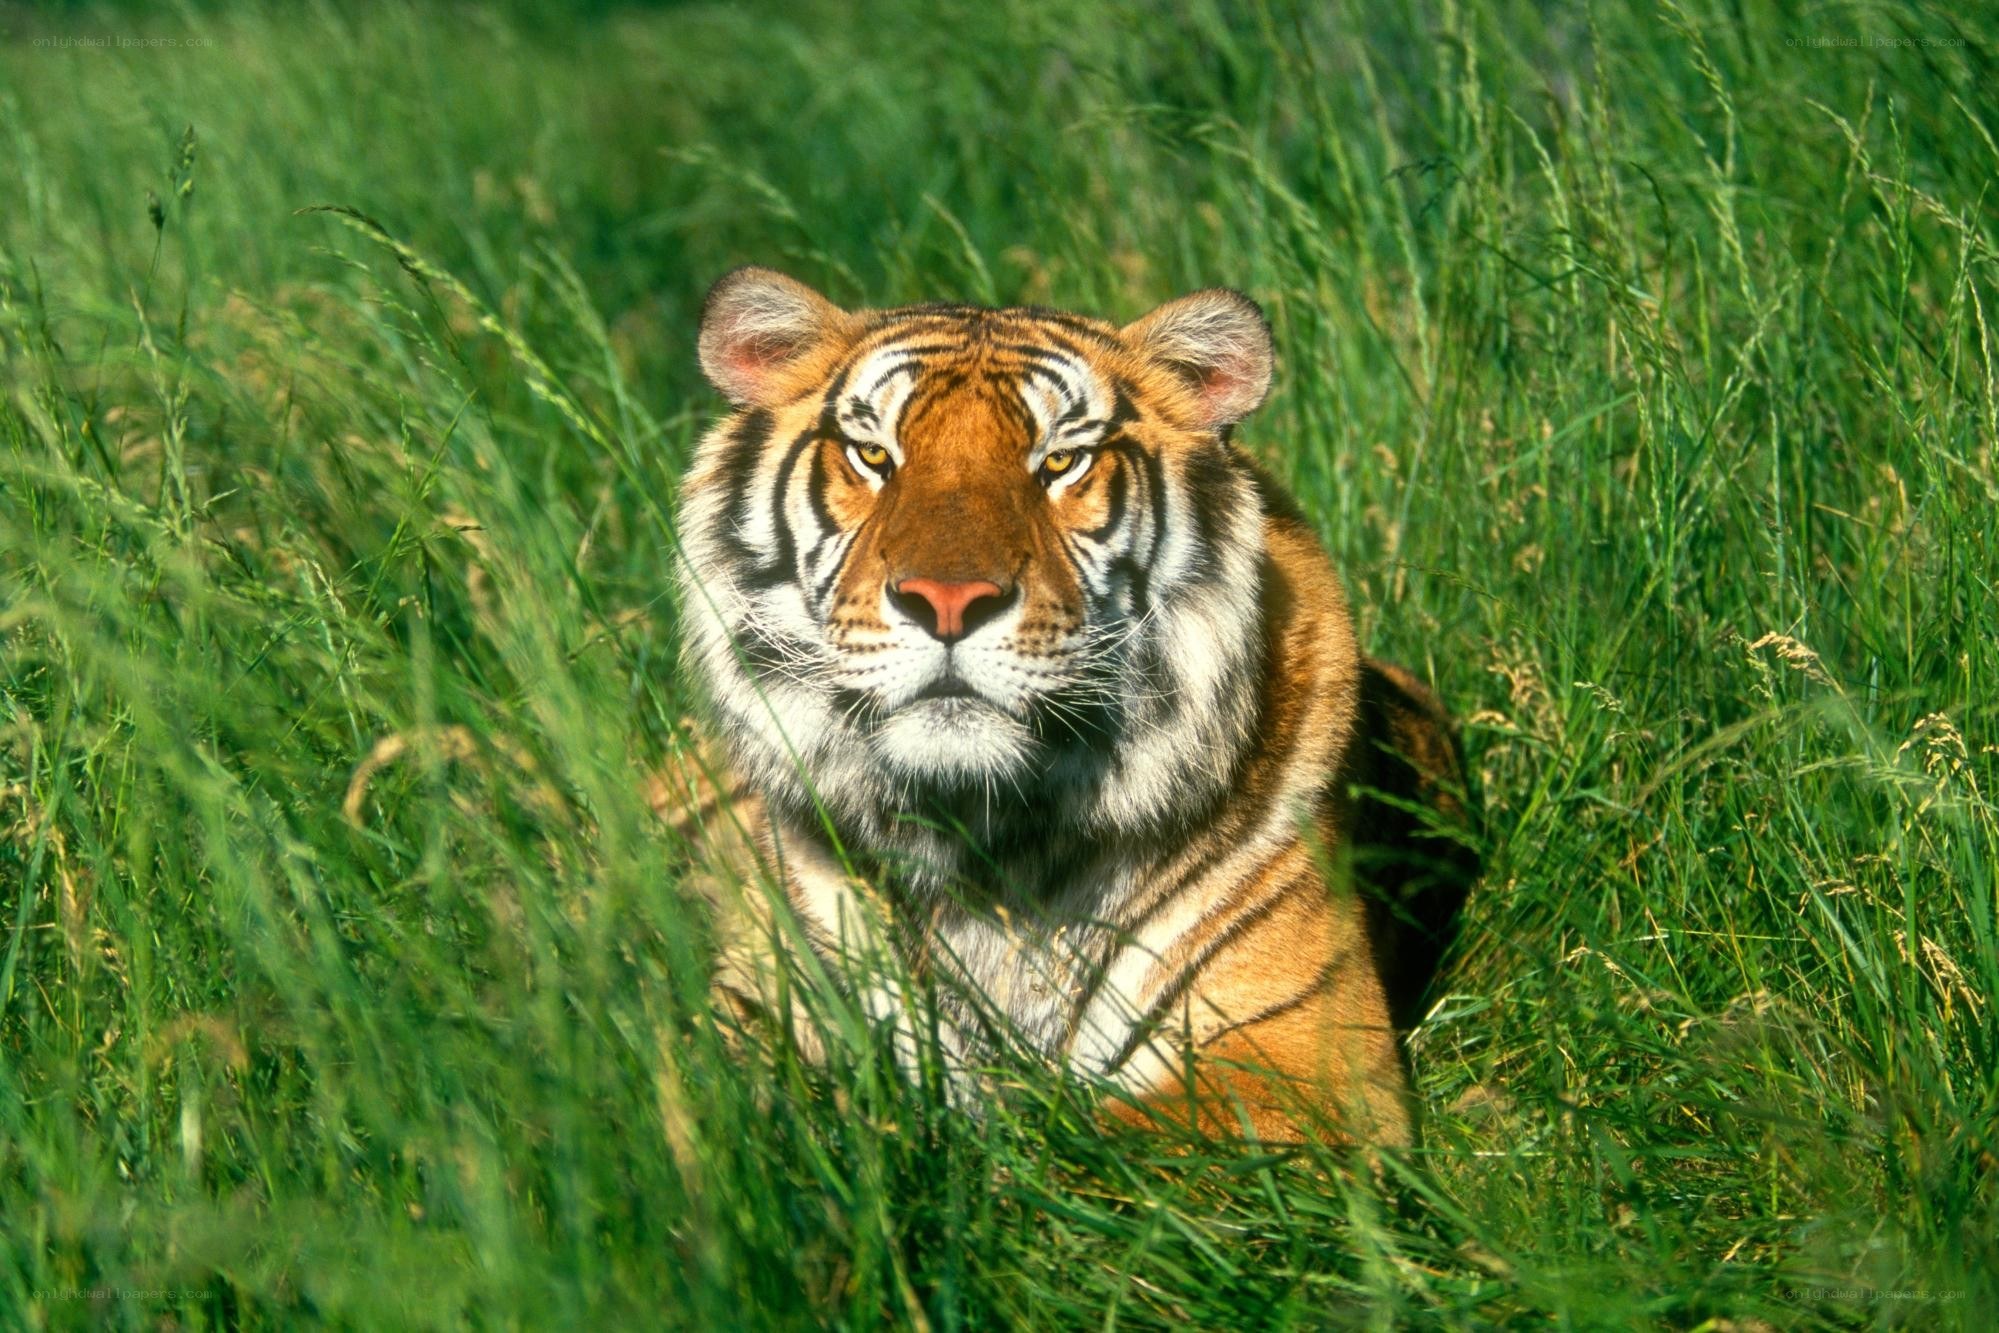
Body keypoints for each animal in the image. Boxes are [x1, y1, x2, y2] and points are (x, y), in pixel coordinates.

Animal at [665, 266, 1476, 1145]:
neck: (981, 839)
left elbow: (1078, 1151)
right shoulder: (757, 1006)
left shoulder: (1301, 1062)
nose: (947, 601)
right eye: (873, 454)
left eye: (1059, 462)